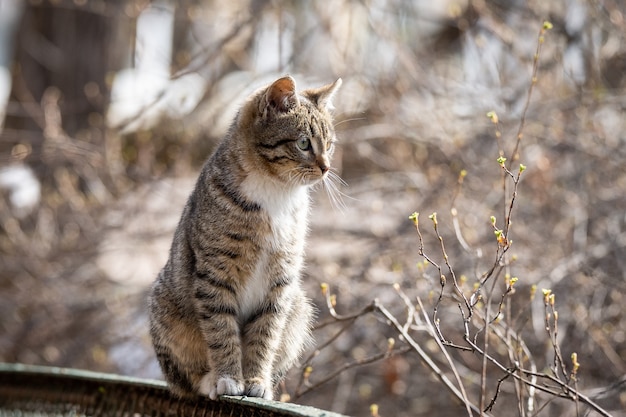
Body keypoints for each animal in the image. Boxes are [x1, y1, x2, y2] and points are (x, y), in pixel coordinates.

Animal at [147, 75, 342, 400]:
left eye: (329, 144)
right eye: (304, 143)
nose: (326, 168)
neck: (276, 191)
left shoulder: (281, 279)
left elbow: (266, 333)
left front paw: (256, 380)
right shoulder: (215, 273)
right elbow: (220, 328)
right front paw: (228, 377)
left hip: (299, 308)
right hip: (165, 307)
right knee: (185, 380)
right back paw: (208, 379)